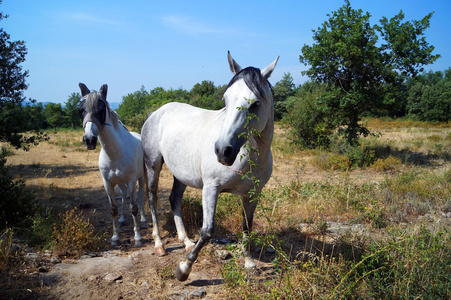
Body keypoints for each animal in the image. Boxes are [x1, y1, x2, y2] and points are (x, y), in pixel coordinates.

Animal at [78, 83, 147, 247]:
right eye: (81, 110)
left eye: (101, 109)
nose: (89, 140)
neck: (115, 152)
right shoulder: (108, 183)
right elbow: (113, 209)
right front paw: (115, 237)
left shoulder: (131, 180)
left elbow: (134, 208)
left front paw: (137, 237)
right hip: (120, 182)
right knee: (123, 194)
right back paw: (122, 219)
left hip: (141, 178)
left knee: (141, 196)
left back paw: (143, 220)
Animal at [141, 52, 278, 282]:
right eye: (226, 100)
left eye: (255, 104)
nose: (223, 151)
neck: (248, 156)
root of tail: (155, 113)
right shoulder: (211, 189)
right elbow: (207, 231)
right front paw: (183, 270)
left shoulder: (252, 194)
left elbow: (247, 227)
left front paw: (249, 263)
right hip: (153, 165)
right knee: (152, 199)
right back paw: (159, 245)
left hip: (181, 174)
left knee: (174, 199)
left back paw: (186, 241)